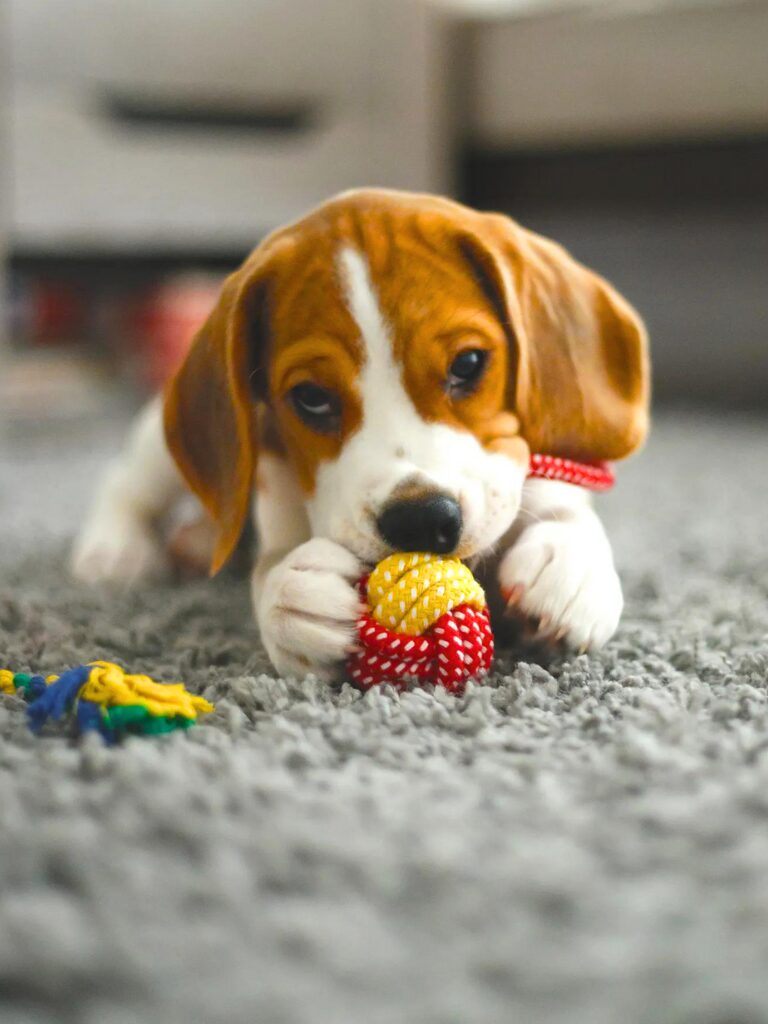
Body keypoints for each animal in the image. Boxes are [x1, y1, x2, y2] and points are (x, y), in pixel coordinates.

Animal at [70, 192, 651, 679]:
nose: (421, 519)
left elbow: (559, 500)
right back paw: (115, 551)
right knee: (126, 483)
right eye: (311, 397)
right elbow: (270, 567)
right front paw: (291, 597)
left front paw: (572, 560)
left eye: (467, 364)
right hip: (158, 448)